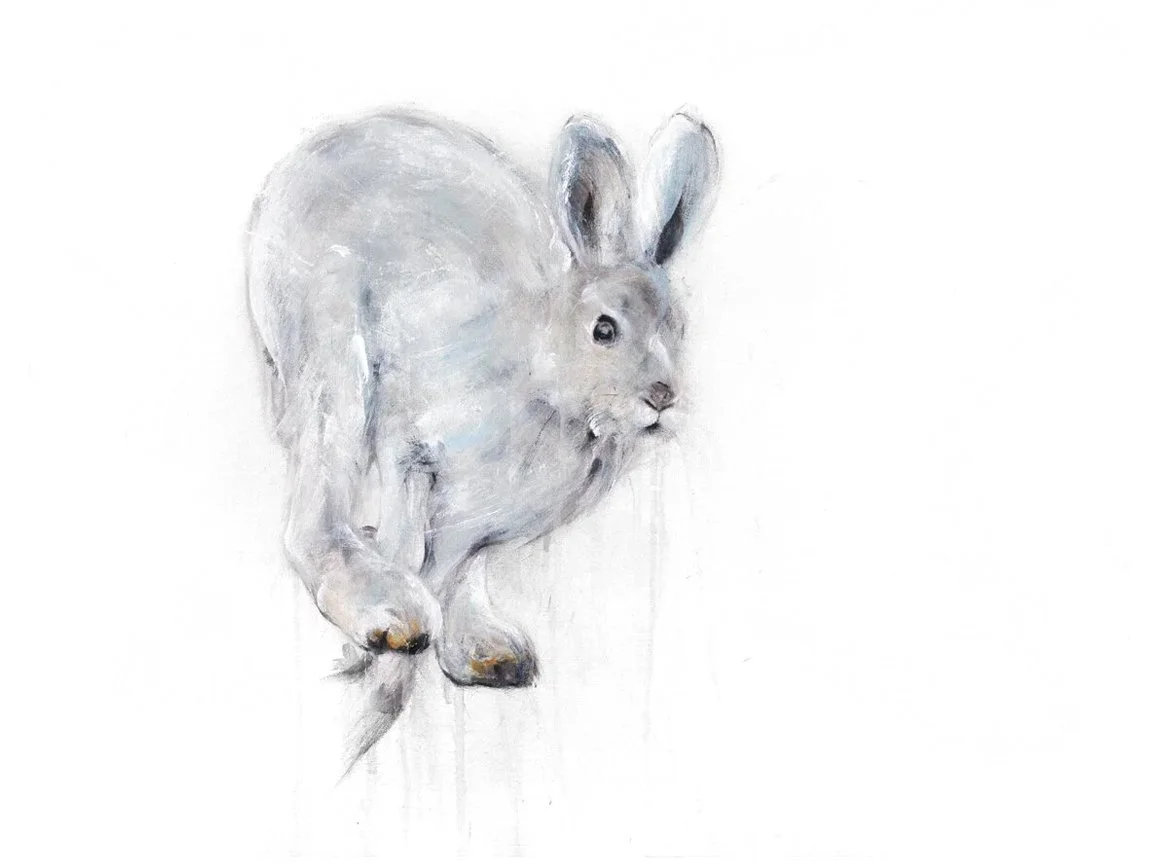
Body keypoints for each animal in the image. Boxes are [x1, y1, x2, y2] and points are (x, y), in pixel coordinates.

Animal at [246, 107, 718, 761]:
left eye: (679, 327)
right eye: (604, 329)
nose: (664, 398)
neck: (543, 377)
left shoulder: (475, 531)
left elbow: (461, 572)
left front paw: (481, 656)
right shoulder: (410, 446)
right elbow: (409, 543)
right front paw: (386, 652)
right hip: (333, 353)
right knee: (312, 514)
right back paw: (384, 612)